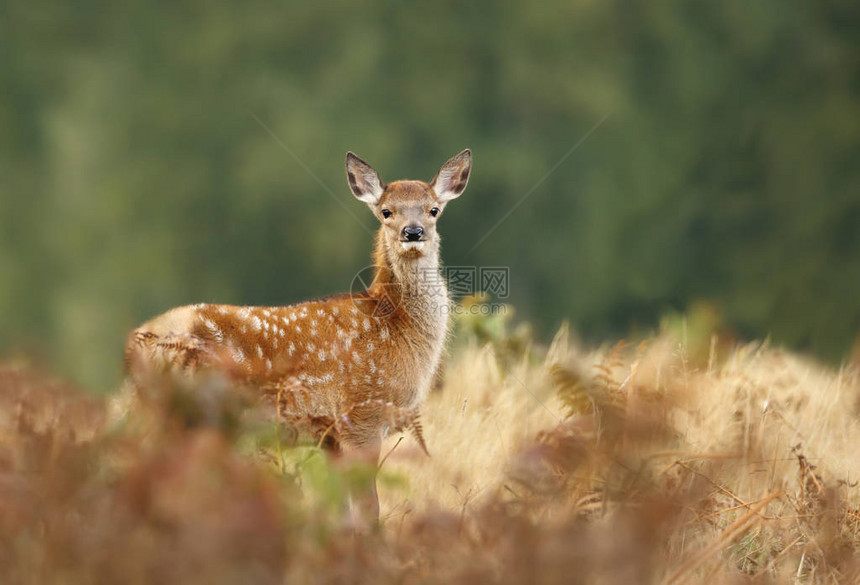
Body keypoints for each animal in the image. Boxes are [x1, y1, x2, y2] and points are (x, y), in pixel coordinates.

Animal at [122, 148, 470, 516]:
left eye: (434, 209)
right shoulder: (361, 416)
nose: (413, 232)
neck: (396, 327)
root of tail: (139, 342)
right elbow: (367, 509)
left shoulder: (329, 437)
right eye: (386, 211)